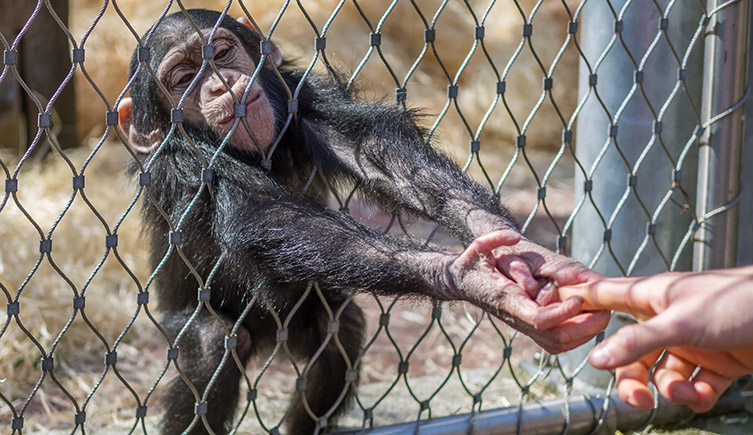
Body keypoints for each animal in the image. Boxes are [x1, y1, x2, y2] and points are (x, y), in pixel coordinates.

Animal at [117, 9, 609, 434]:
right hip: (179, 322)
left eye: (219, 54)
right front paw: (466, 275)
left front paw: (508, 244)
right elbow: (267, 213)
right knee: (210, 348)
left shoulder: (301, 97)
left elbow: (373, 151)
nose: (220, 88)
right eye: (184, 79)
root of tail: (270, 342)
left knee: (340, 330)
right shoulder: (187, 163)